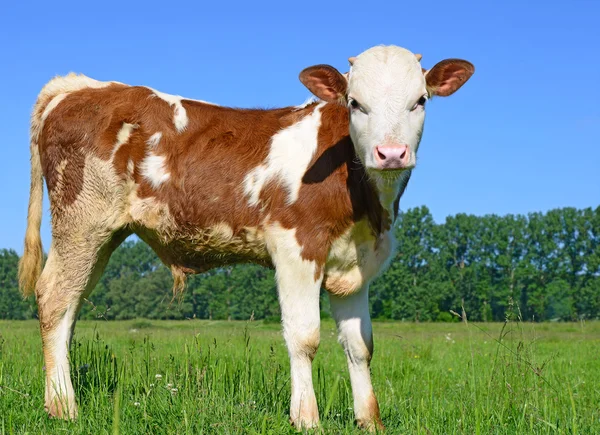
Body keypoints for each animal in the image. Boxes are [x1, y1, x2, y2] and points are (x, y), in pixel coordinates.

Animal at [19, 45, 474, 430]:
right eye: (355, 103)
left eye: (421, 100)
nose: (391, 153)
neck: (365, 200)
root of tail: (80, 86)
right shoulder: (295, 247)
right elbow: (304, 337)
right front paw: (306, 418)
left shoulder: (354, 263)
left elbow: (360, 345)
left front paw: (370, 421)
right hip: (82, 223)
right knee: (55, 297)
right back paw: (63, 406)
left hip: (100, 237)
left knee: (70, 306)